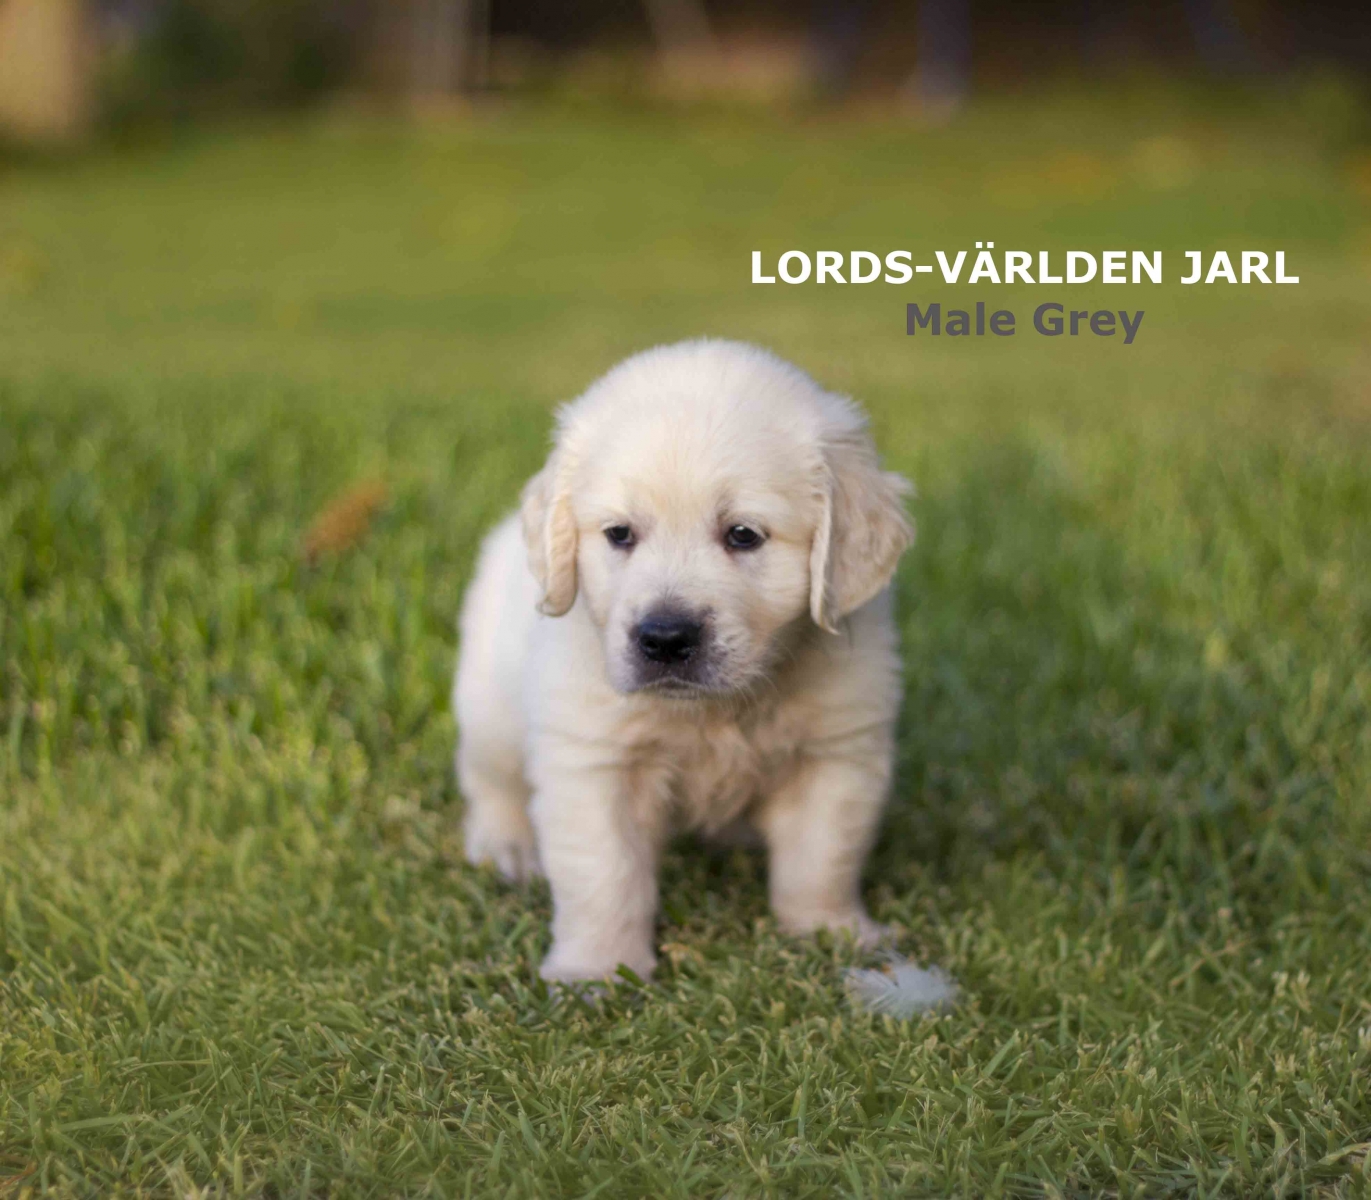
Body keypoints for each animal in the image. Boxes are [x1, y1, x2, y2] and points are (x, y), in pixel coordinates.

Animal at [453, 340, 913, 982]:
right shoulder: (593, 762)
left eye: (743, 534)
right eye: (619, 533)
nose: (665, 638)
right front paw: (597, 971)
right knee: (490, 780)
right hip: (489, 710)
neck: (714, 711)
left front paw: (832, 933)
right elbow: (604, 876)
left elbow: (821, 857)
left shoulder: (835, 752)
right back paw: (508, 847)